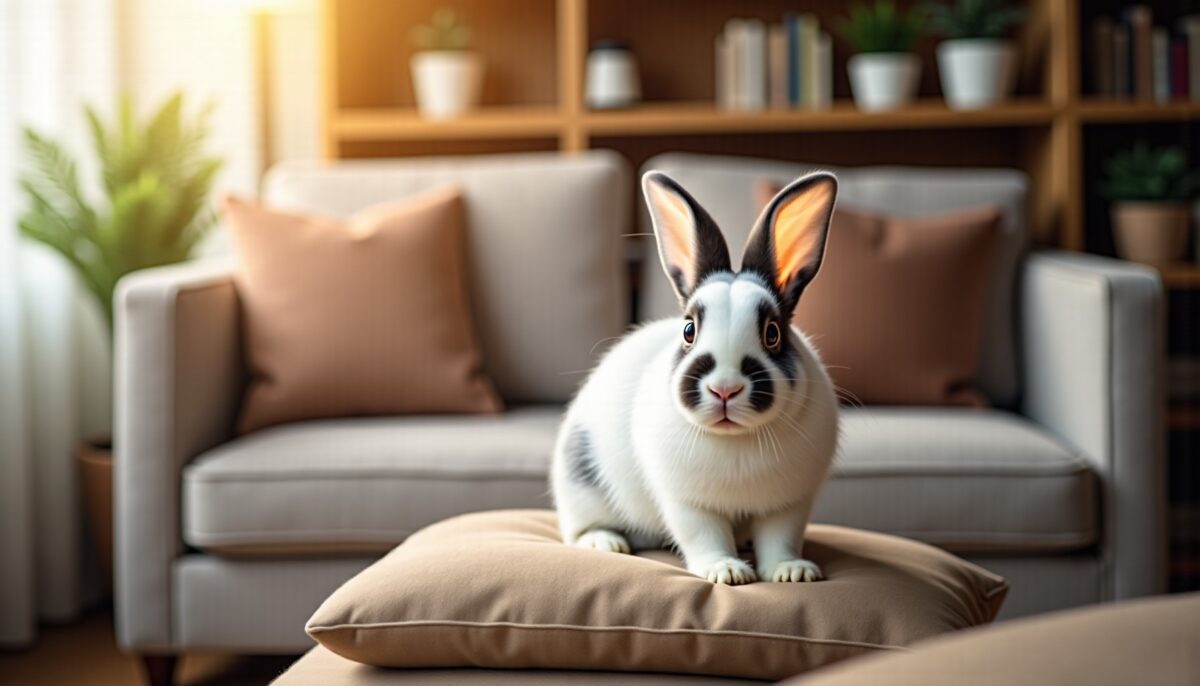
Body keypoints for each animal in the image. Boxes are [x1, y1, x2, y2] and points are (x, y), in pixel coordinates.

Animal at [550, 170, 840, 585]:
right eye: (689, 330)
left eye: (772, 333)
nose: (725, 389)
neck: (735, 442)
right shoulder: (688, 503)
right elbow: (705, 536)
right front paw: (727, 572)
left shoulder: (788, 504)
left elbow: (780, 538)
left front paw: (792, 572)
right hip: (580, 485)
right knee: (579, 528)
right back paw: (605, 542)